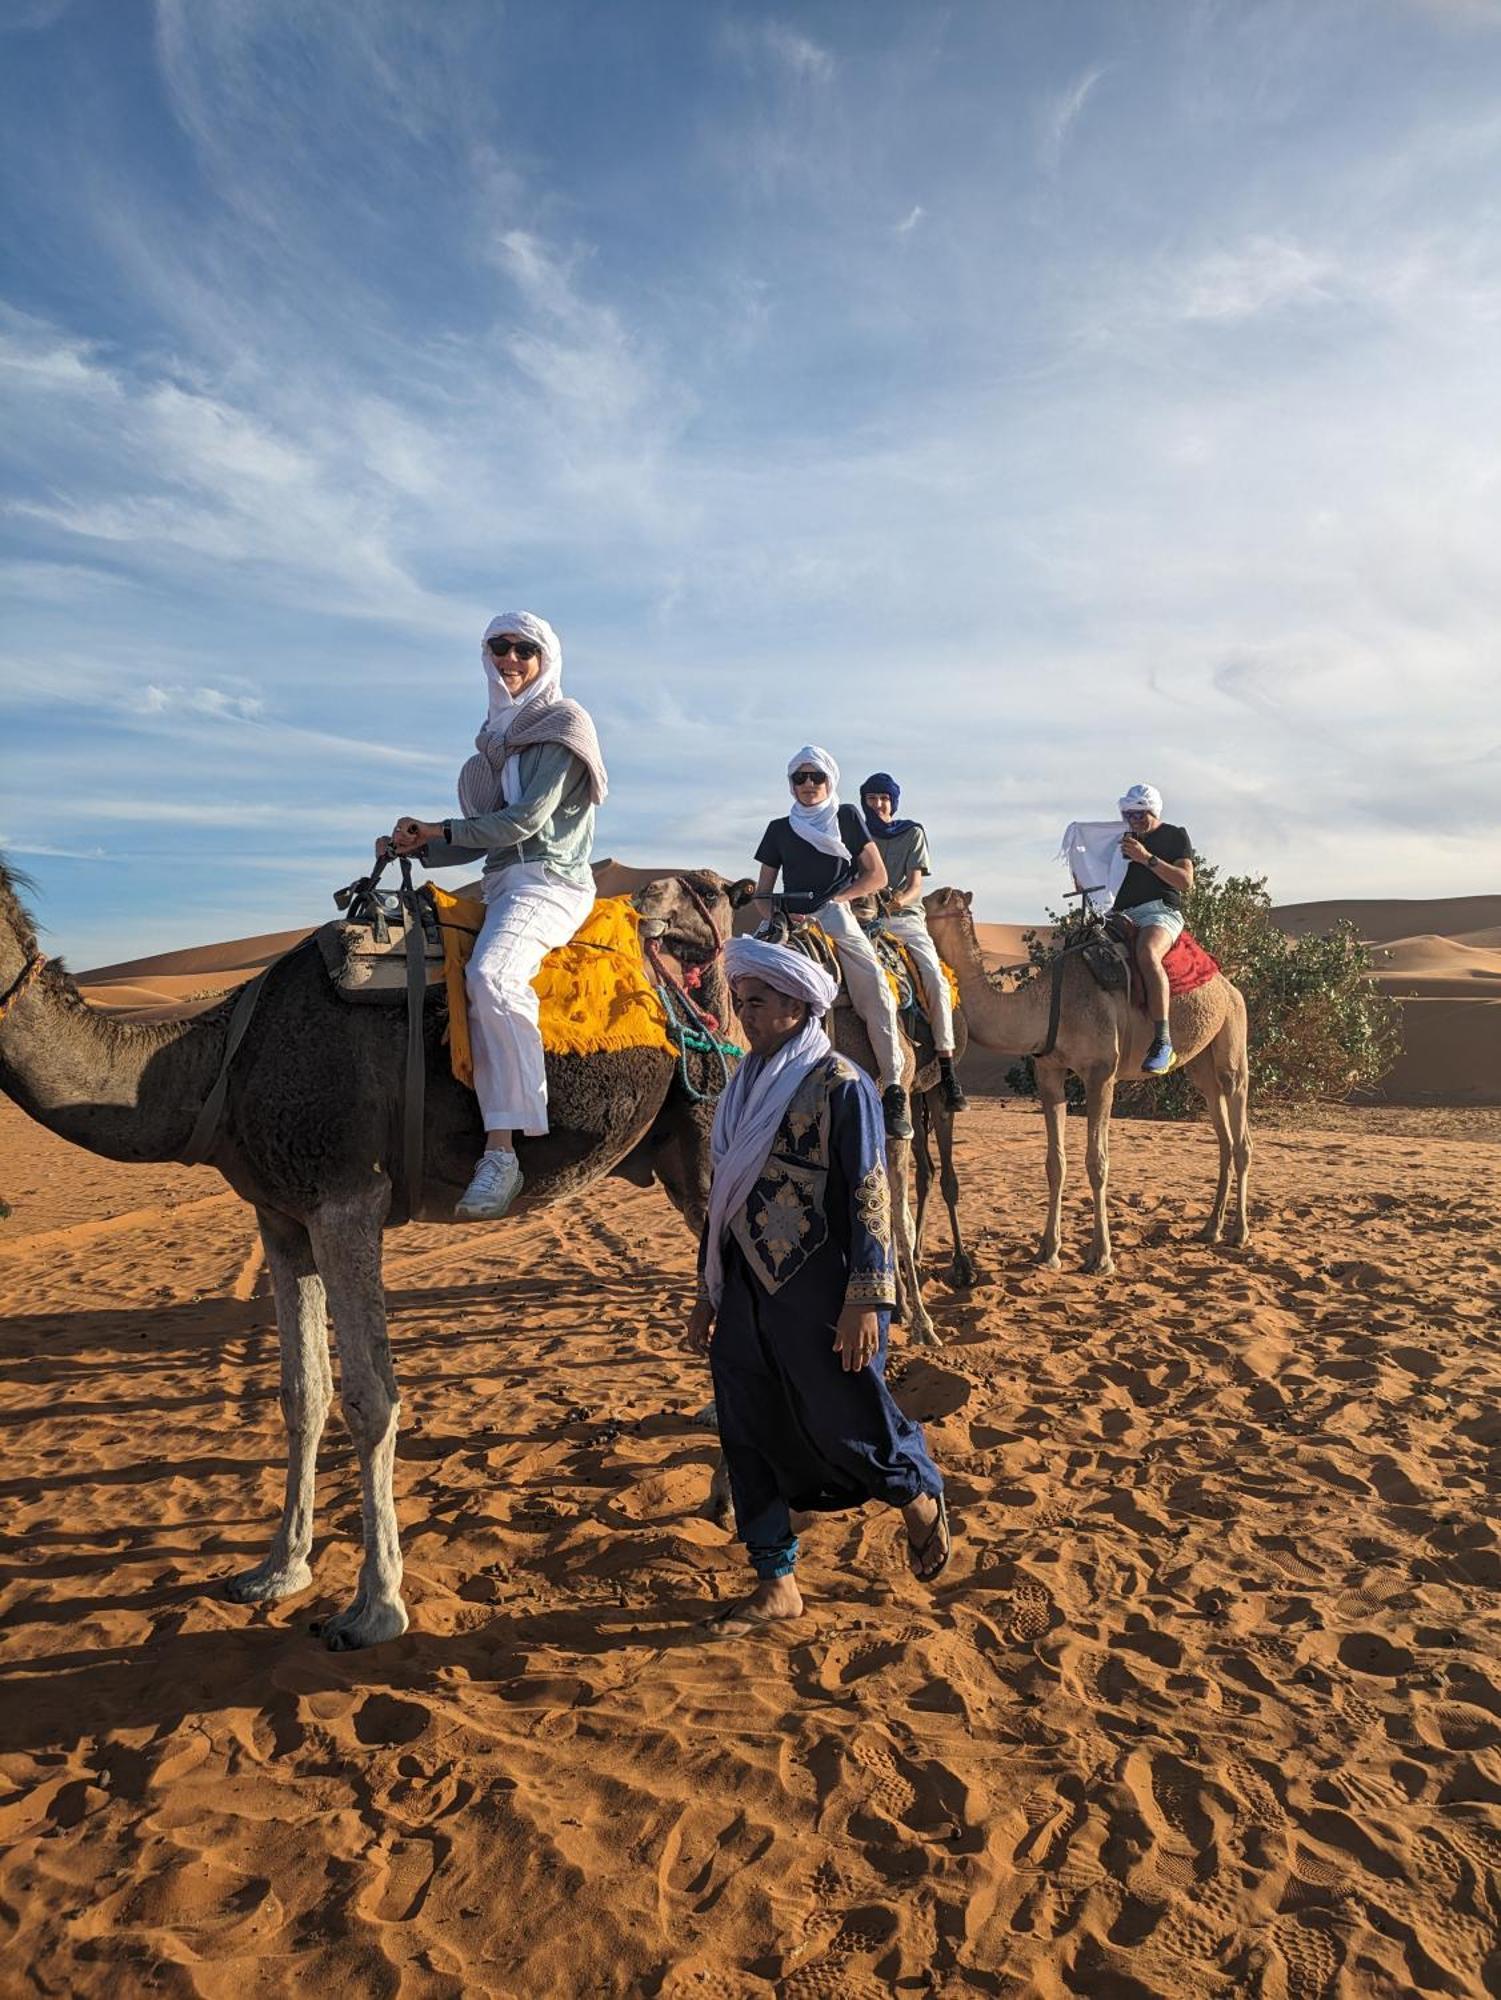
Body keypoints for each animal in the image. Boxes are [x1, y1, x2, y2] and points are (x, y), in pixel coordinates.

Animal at [0, 864, 764, 1656]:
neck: (217, 1067)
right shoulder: (282, 1216)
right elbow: (301, 1393)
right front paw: (277, 1570)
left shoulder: (348, 1200)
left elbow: (371, 1401)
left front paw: (373, 1606)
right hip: (672, 1152)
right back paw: (721, 1495)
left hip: (710, 1132)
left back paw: (734, 1503)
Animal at [928, 888, 1256, 1272]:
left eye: (930, 901)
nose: (892, 901)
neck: (1045, 1006)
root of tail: (1228, 985)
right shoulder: (1049, 1073)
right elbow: (1055, 1164)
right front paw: (1048, 1252)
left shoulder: (1101, 1072)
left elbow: (1097, 1162)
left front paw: (1100, 1257)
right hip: (1201, 1065)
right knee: (1222, 1133)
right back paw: (1211, 1228)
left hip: (1233, 1031)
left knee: (1240, 1130)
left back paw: (1239, 1232)